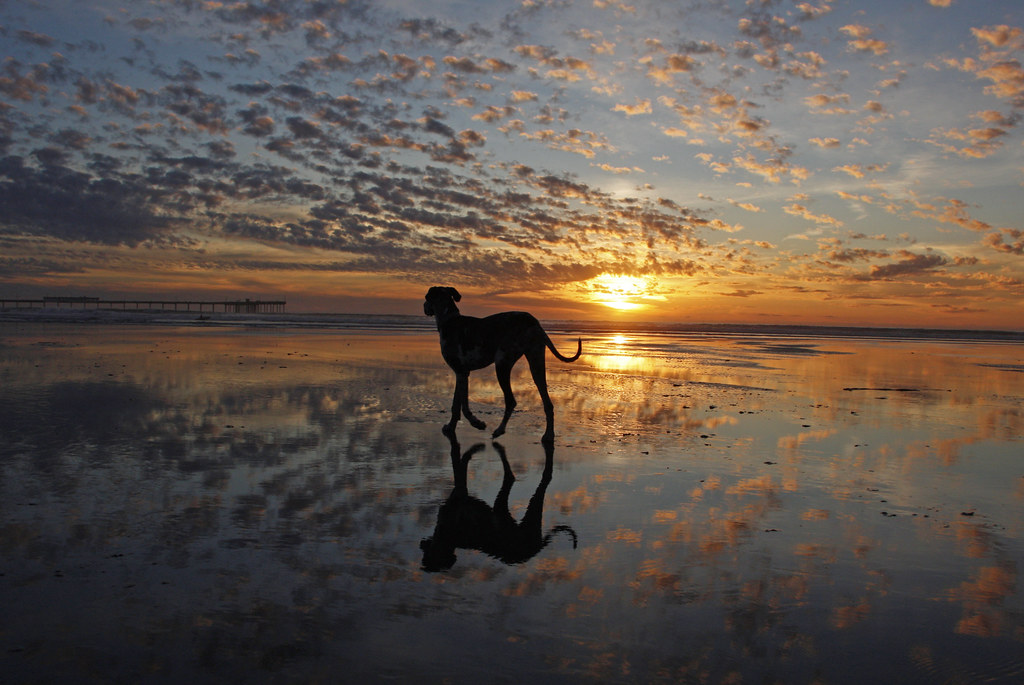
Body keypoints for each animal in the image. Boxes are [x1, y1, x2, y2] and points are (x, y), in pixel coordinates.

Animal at [421, 284, 581, 440]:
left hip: (502, 364)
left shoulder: (461, 372)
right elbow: (455, 405)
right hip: (536, 363)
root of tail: (533, 321)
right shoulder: (461, 373)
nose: (424, 306)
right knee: (548, 403)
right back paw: (548, 434)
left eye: (427, 297)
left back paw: (500, 430)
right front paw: (450, 427)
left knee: (511, 401)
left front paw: (476, 423)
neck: (449, 320)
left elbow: (464, 407)